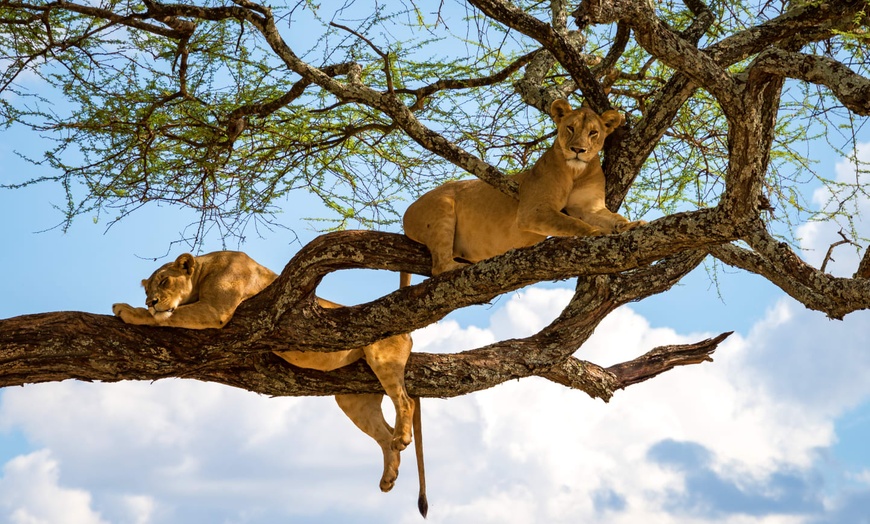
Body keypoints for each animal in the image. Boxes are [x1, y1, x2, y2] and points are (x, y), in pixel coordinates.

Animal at [114, 253, 428, 516]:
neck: (204, 272)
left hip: (382, 359)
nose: (151, 302)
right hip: (354, 399)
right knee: (384, 434)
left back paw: (402, 438)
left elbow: (170, 317)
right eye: (147, 290)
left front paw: (128, 311)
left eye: (164, 281)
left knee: (405, 401)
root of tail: (408, 332)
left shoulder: (215, 309)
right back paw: (388, 476)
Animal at [406, 100, 644, 276]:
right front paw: (596, 232)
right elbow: (572, 222)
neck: (576, 172)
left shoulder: (589, 207)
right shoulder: (533, 210)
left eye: (593, 133)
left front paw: (632, 224)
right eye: (570, 128)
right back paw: (458, 267)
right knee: (439, 267)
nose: (578, 150)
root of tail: (408, 210)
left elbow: (613, 217)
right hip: (442, 209)